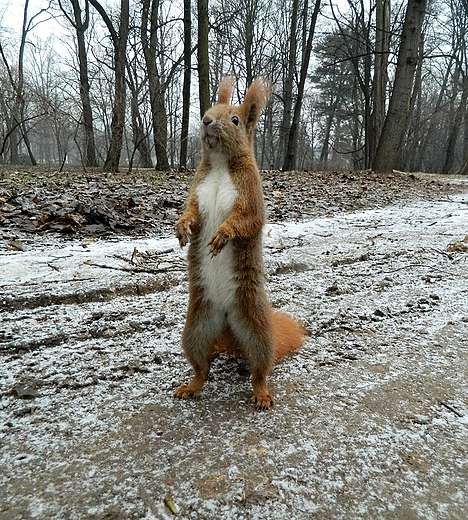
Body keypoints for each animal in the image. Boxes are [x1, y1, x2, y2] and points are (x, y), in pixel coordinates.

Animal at [174, 78, 306, 410]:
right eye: (209, 108)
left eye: (234, 120)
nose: (206, 120)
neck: (221, 164)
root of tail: (226, 324)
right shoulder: (196, 190)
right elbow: (191, 211)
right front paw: (182, 228)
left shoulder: (251, 194)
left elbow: (246, 221)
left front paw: (222, 235)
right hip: (196, 329)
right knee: (202, 367)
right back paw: (191, 386)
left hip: (256, 329)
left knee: (260, 369)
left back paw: (261, 394)